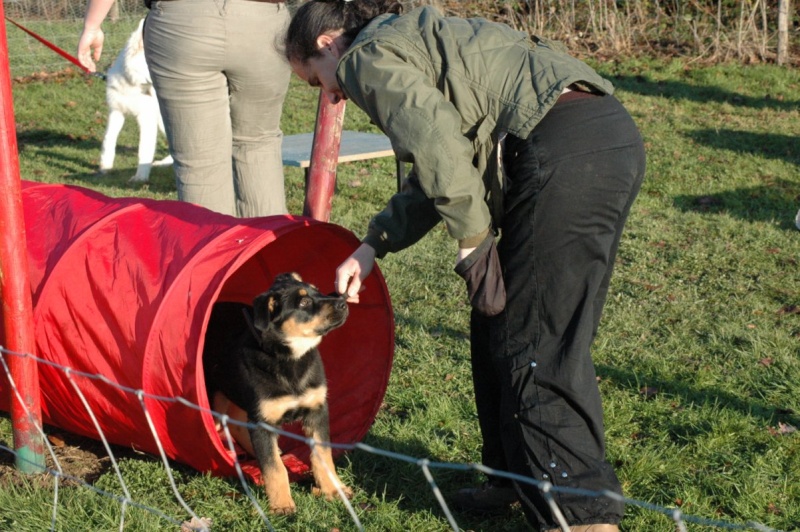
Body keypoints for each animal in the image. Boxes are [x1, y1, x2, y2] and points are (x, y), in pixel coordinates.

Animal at [99, 19, 171, 183]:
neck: (132, 87)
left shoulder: (147, 119)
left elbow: (143, 149)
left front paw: (140, 177)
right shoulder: (116, 112)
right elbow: (108, 139)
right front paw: (105, 165)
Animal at [202, 272, 352, 512]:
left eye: (317, 290)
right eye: (303, 302)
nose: (343, 302)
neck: (290, 359)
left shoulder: (317, 410)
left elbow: (322, 455)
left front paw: (333, 489)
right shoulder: (262, 420)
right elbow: (274, 467)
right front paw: (281, 505)